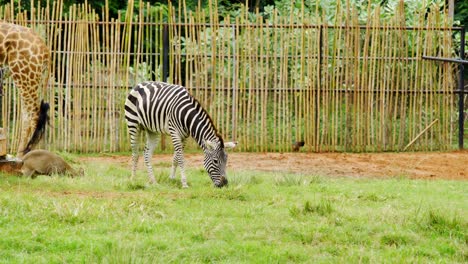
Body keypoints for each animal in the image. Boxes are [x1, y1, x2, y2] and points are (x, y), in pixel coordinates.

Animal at [0, 22, 50, 157]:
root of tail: (45, 50)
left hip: (23, 75)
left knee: (34, 114)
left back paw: (24, 156)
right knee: (26, 116)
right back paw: (20, 155)